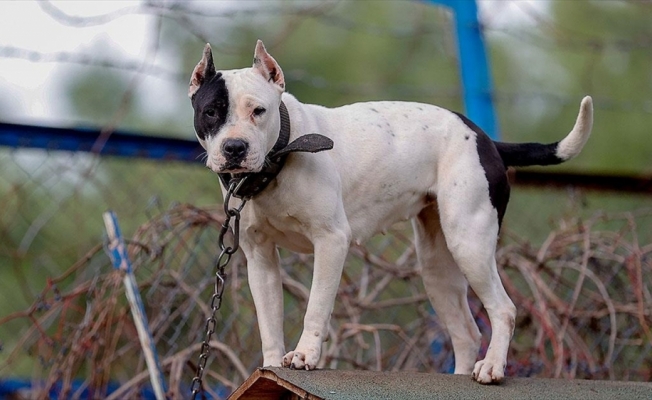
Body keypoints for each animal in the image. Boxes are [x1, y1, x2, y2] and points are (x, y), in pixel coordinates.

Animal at [187, 40, 592, 384]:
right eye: (211, 112)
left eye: (259, 111)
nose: (235, 148)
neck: (281, 155)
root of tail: (484, 138)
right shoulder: (260, 258)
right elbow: (268, 320)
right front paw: (270, 367)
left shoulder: (331, 242)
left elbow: (316, 306)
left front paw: (304, 356)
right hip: (437, 266)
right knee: (465, 331)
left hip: (470, 244)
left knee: (503, 309)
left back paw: (491, 368)